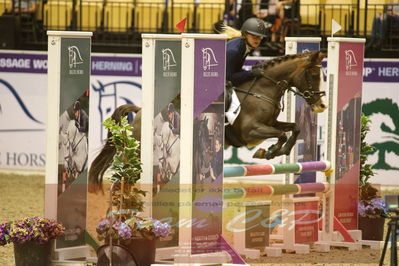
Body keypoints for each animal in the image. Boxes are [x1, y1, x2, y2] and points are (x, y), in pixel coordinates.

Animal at [89, 50, 326, 191]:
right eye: (313, 74)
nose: (321, 105)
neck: (262, 90)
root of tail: (139, 113)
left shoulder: (271, 124)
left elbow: (293, 128)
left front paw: (276, 151)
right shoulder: (250, 131)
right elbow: (282, 134)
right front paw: (268, 151)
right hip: (140, 157)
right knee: (123, 182)